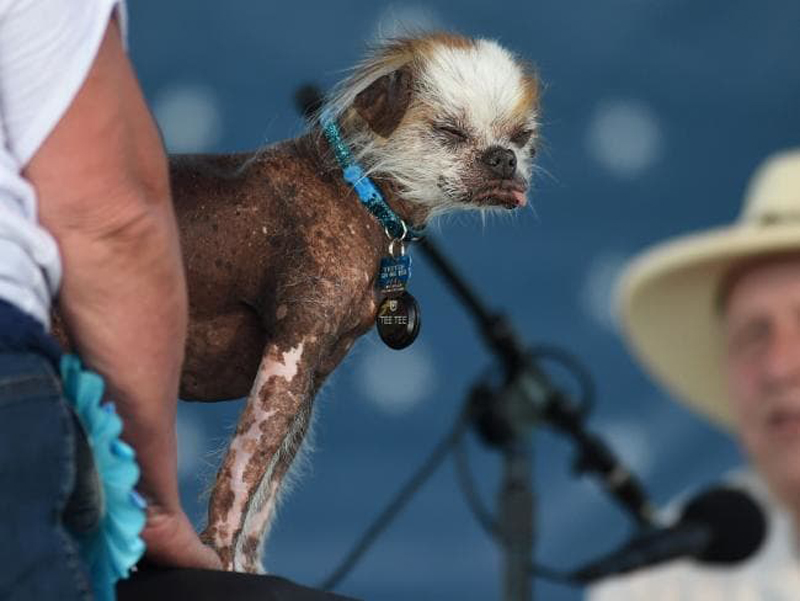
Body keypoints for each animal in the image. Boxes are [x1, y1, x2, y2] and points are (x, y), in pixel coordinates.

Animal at [172, 32, 540, 572]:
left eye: (522, 137)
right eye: (449, 131)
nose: (504, 159)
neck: (354, 191)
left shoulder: (308, 382)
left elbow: (264, 503)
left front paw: (250, 569)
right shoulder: (287, 360)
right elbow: (235, 487)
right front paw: (217, 559)